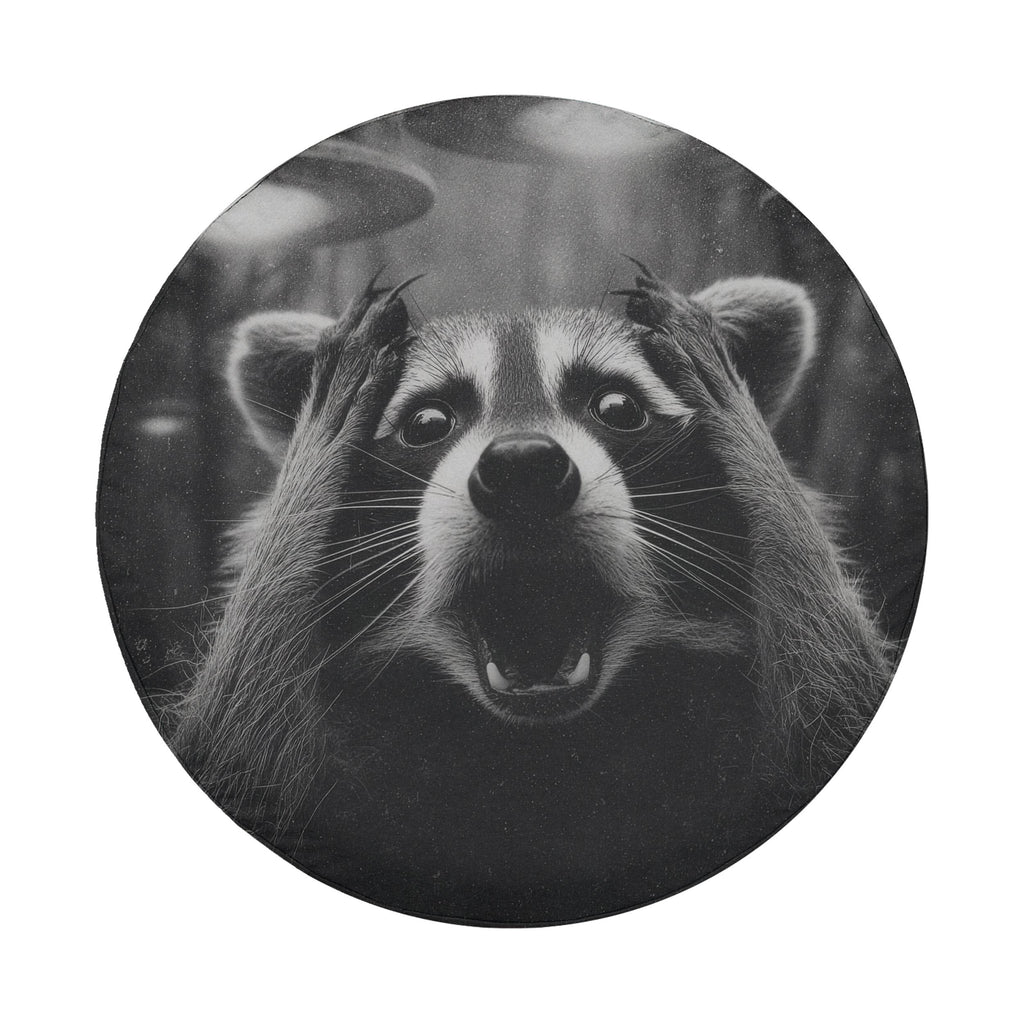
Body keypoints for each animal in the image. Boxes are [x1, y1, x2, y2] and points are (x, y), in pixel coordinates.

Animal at [173, 263, 890, 921]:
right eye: (427, 422)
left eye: (617, 407)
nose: (522, 467)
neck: (540, 749)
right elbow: (239, 750)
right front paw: (317, 441)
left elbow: (835, 699)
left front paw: (738, 420)